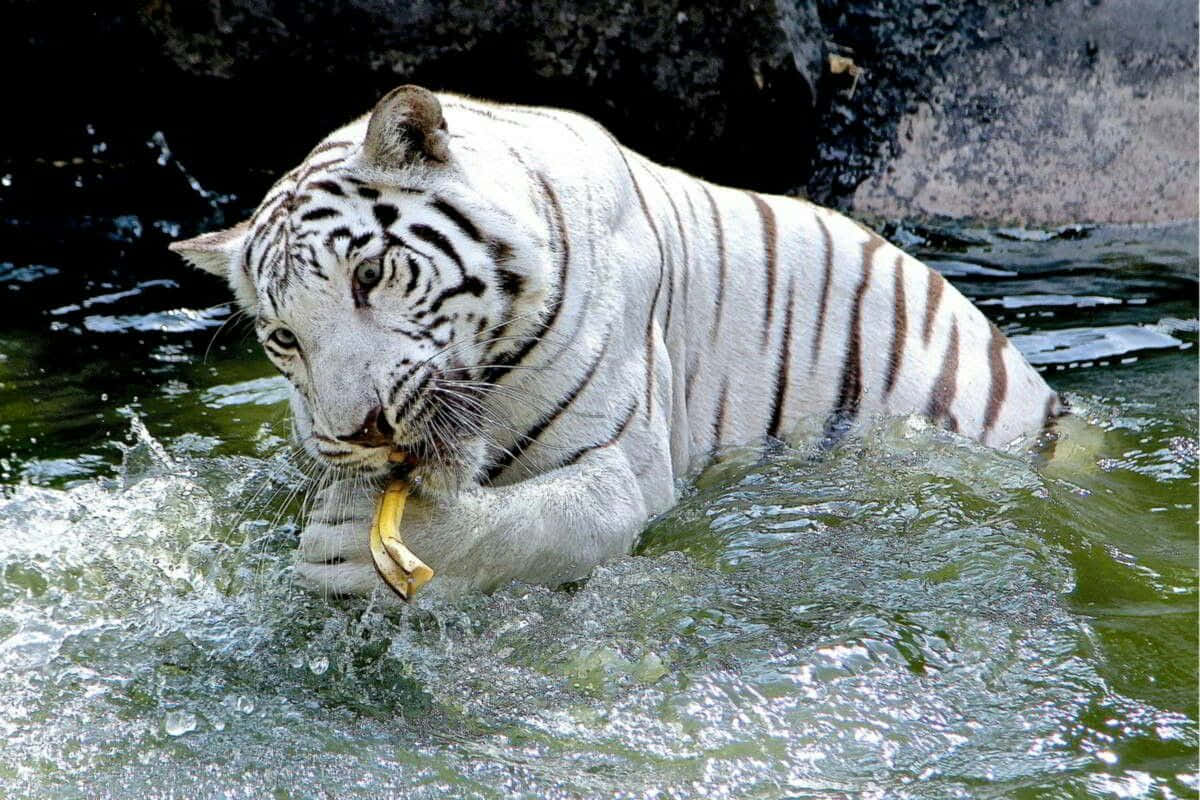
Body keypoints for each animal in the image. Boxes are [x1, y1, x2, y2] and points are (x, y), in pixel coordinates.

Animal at [170, 85, 1064, 596]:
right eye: (284, 337)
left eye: (369, 274)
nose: (361, 431)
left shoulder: (627, 464)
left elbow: (533, 523)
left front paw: (353, 549)